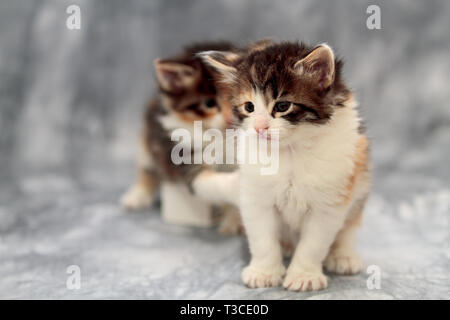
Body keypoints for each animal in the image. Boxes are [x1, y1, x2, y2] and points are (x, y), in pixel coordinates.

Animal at [199, 41, 370, 292]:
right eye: (249, 107)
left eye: (282, 106)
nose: (259, 128)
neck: (289, 150)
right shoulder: (255, 196)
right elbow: (262, 238)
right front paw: (264, 272)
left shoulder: (330, 200)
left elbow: (313, 243)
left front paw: (304, 276)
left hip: (361, 181)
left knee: (350, 225)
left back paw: (343, 256)